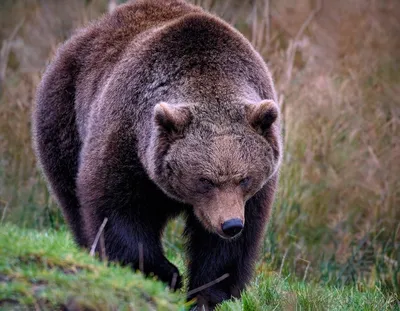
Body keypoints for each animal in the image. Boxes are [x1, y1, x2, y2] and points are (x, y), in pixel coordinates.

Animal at [32, 0, 282, 310]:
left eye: (244, 178)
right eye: (205, 180)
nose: (230, 224)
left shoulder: (252, 194)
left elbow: (229, 248)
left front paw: (209, 294)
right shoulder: (127, 141)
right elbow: (116, 211)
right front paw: (165, 273)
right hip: (63, 117)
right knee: (73, 200)